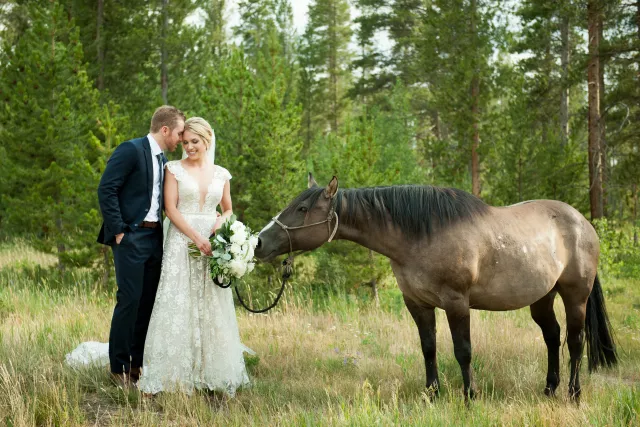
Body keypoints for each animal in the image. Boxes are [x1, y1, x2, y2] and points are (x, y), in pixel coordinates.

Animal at [254, 173, 618, 401]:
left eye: (302, 209)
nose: (258, 243)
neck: (421, 235)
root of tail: (582, 222)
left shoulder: (457, 303)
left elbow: (463, 350)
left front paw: (470, 396)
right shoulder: (417, 303)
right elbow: (428, 348)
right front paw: (432, 393)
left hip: (575, 296)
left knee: (575, 341)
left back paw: (573, 394)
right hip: (542, 298)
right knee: (552, 337)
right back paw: (549, 389)